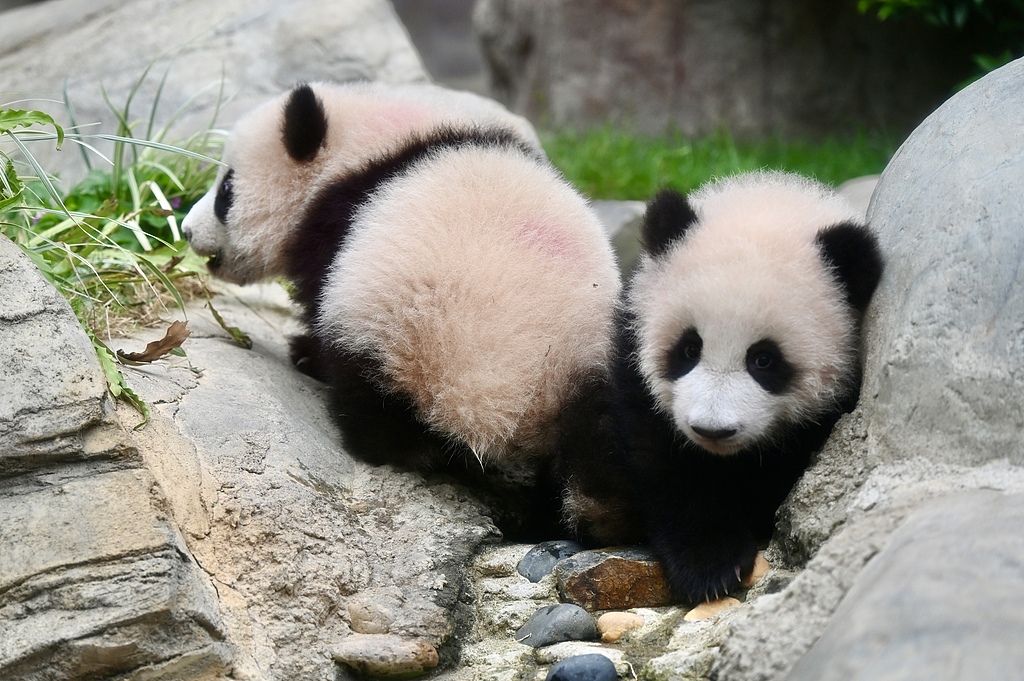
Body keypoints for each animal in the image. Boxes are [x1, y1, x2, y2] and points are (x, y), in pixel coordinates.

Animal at [181, 82, 620, 530]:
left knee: (373, 392)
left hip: (406, 331)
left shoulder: (338, 221)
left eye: (225, 191)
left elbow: (318, 291)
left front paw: (305, 351)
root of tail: (530, 400)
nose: (186, 231)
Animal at [557, 170, 883, 603]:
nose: (712, 429)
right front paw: (709, 566)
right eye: (689, 348)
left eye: (764, 359)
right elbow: (665, 462)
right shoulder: (632, 362)